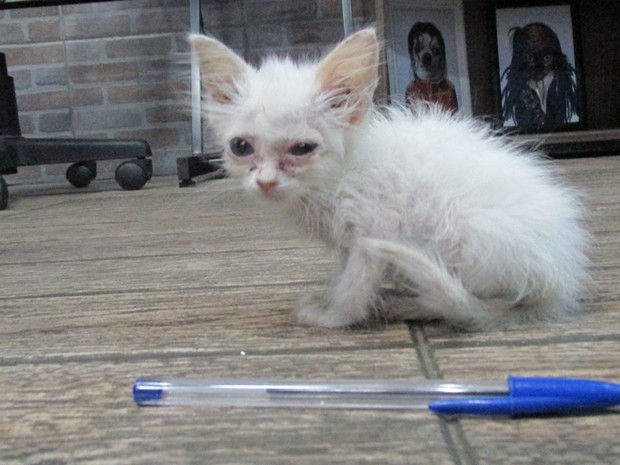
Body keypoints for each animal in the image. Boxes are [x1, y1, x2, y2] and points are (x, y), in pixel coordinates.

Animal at [189, 29, 592, 328]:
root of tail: (558, 279)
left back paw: (412, 305)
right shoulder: (349, 242)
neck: (335, 179)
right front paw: (331, 296)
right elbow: (344, 274)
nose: (266, 182)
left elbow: (355, 286)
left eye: (302, 148)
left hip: (462, 236)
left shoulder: (376, 232)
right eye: (240, 147)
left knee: (465, 301)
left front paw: (333, 315)